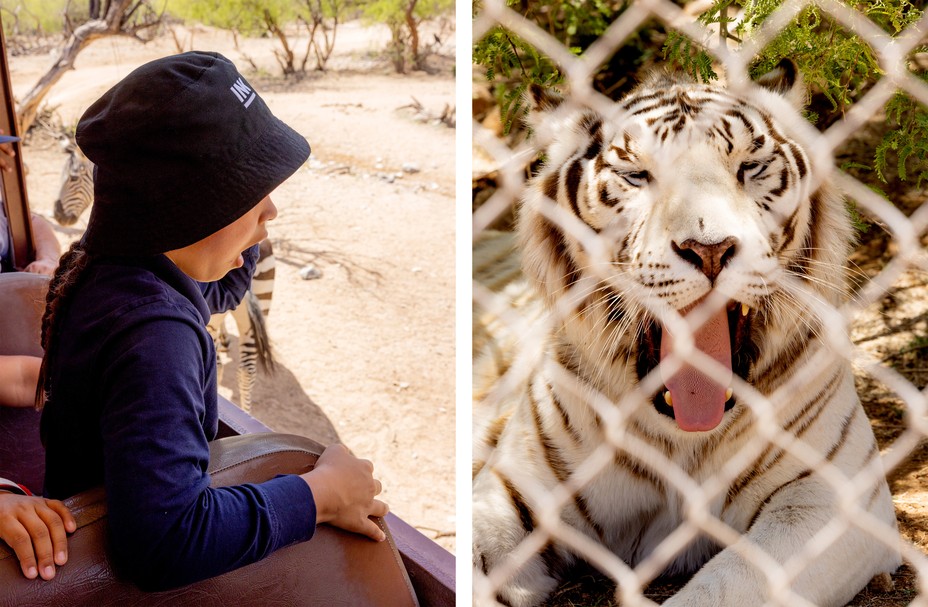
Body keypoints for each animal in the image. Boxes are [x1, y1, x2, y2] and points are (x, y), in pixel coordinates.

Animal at [472, 61, 900, 607]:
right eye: (637, 175)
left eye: (750, 167)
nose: (710, 249)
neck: (682, 434)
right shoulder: (515, 490)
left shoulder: (829, 497)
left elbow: (730, 583)